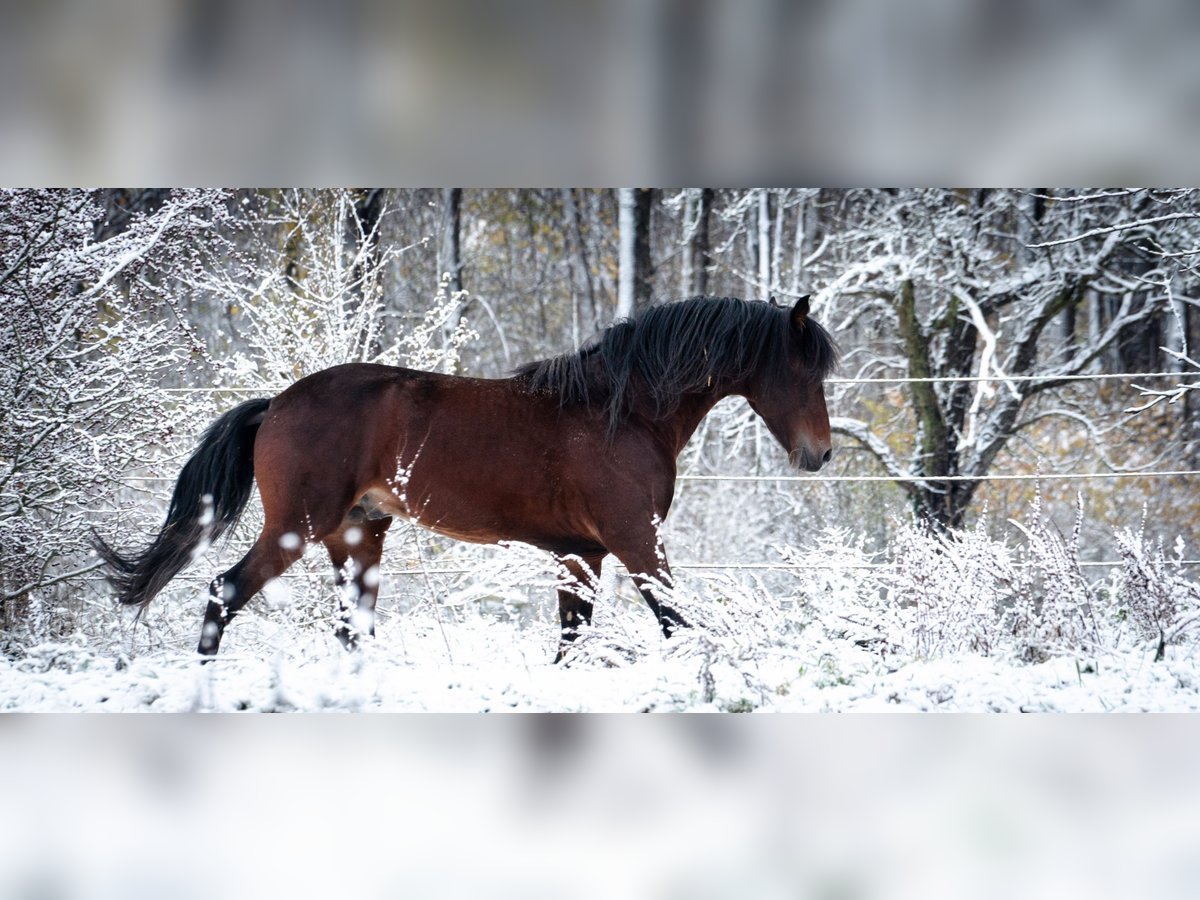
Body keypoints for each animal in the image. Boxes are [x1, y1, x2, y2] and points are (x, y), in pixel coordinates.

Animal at [96, 296, 835, 662]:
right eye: (803, 370)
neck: (620, 411)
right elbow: (675, 622)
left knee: (349, 626)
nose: (820, 455)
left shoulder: (582, 553)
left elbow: (572, 637)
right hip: (296, 527)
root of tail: (276, 402)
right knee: (224, 592)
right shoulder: (634, 541)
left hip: (357, 536)